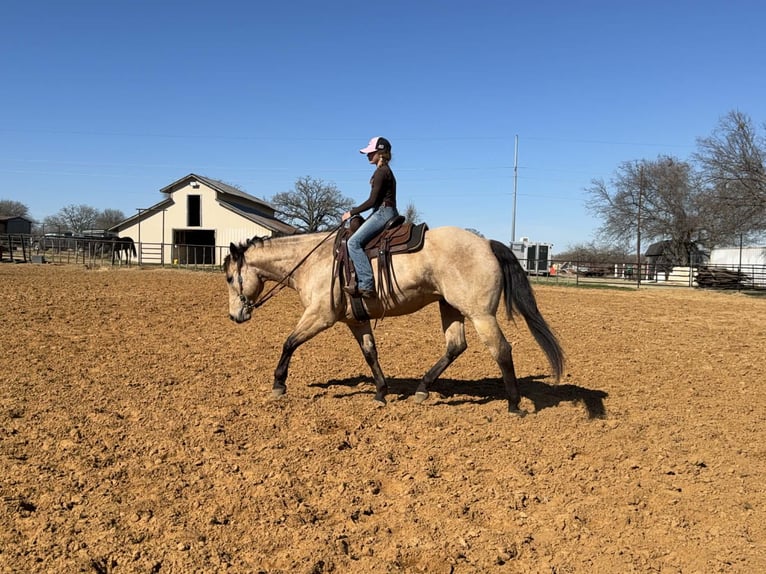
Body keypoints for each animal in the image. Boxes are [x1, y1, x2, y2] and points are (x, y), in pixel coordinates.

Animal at [223, 226, 565, 413]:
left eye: (229, 277)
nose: (234, 316)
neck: (314, 261)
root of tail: (487, 244)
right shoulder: (356, 320)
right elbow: (370, 352)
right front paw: (380, 391)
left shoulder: (320, 316)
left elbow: (289, 343)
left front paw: (278, 384)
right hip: (451, 308)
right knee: (455, 346)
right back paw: (422, 389)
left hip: (480, 314)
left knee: (501, 350)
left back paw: (514, 404)